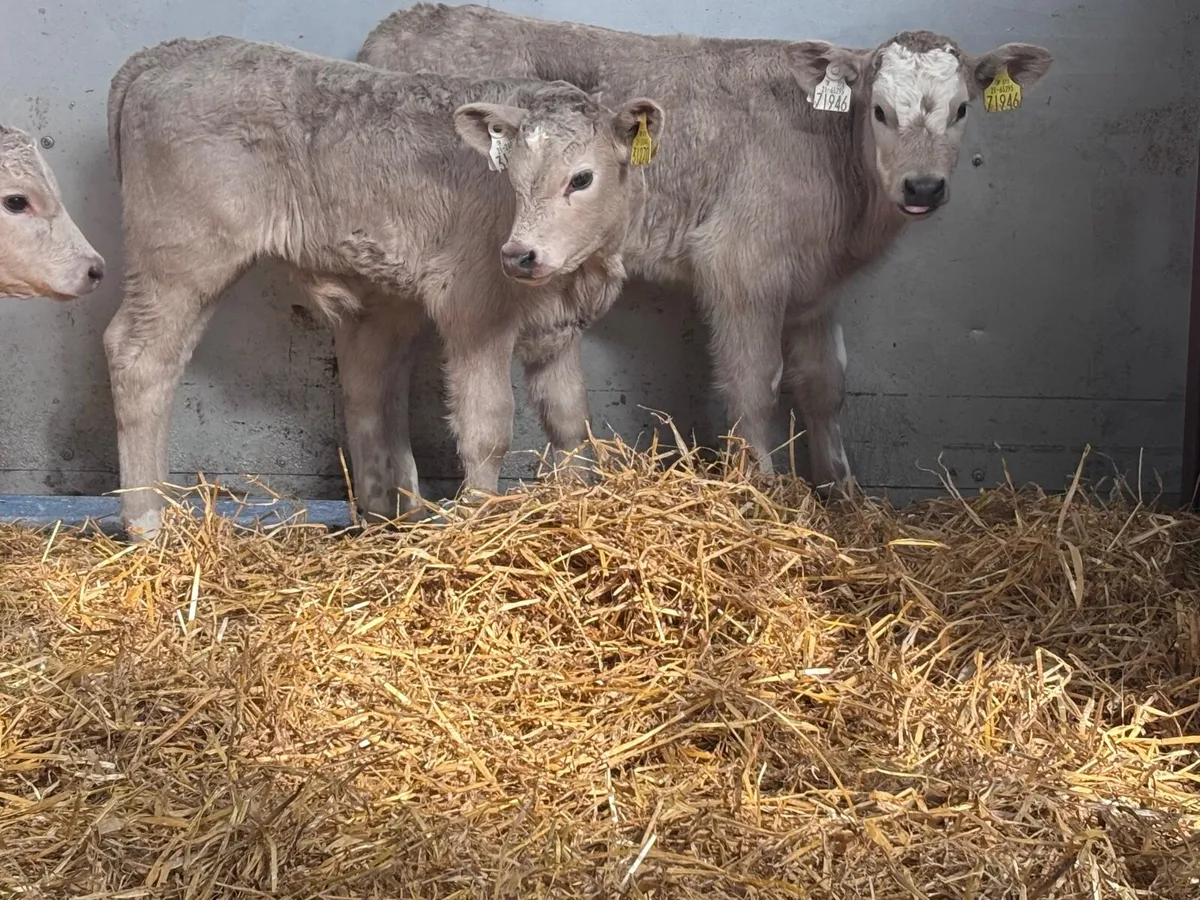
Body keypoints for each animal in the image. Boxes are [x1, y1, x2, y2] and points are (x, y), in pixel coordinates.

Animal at [103, 35, 665, 540]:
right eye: (512, 178)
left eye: (582, 178)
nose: (518, 254)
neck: (576, 275)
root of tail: (169, 52)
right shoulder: (473, 309)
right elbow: (487, 427)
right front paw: (480, 519)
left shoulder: (559, 327)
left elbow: (571, 421)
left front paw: (580, 499)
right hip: (180, 258)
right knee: (138, 358)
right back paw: (147, 522)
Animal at [359, 4, 1053, 495]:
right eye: (880, 111)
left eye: (962, 109)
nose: (923, 186)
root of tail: (406, 19)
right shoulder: (741, 267)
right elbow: (755, 384)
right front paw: (763, 491)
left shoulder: (816, 289)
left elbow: (826, 386)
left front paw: (844, 492)